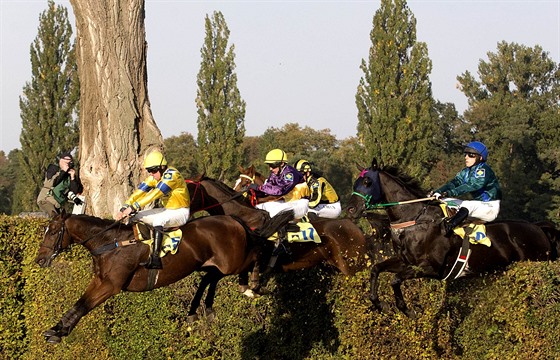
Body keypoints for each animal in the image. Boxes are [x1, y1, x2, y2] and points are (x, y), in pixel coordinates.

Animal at [34, 210, 294, 344]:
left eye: (54, 231)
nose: (39, 260)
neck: (110, 243)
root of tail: (234, 219)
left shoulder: (111, 284)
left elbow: (85, 305)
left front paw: (58, 331)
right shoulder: (100, 281)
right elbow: (79, 303)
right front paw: (57, 330)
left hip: (234, 260)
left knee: (258, 249)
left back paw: (253, 283)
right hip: (215, 263)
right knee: (210, 278)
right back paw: (201, 310)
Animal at [344, 159, 556, 316]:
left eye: (367, 182)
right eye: (355, 183)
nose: (351, 209)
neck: (414, 220)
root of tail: (538, 228)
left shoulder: (430, 268)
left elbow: (395, 280)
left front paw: (408, 311)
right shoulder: (405, 261)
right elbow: (376, 269)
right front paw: (380, 304)